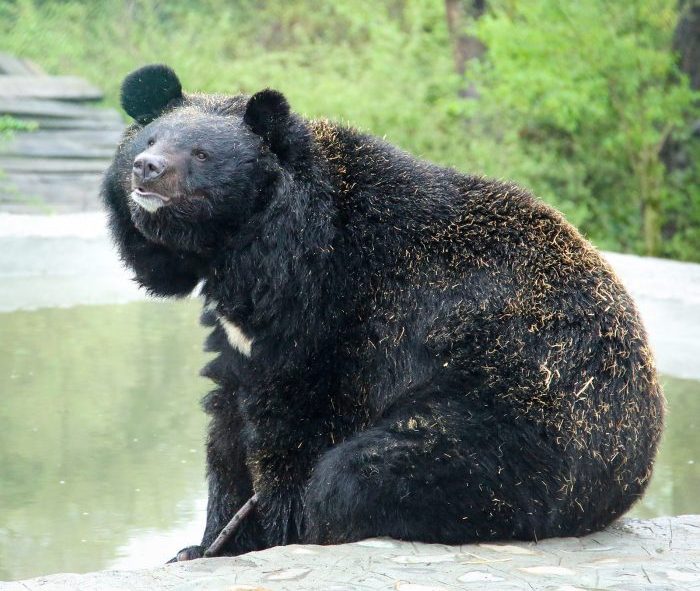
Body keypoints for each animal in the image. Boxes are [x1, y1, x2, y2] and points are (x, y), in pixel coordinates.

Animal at [102, 64, 664, 561]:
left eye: (200, 153)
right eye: (149, 140)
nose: (147, 170)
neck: (250, 251)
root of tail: (634, 463)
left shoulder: (336, 317)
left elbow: (296, 420)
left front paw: (278, 531)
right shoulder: (240, 332)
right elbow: (227, 425)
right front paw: (202, 547)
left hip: (515, 419)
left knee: (358, 476)